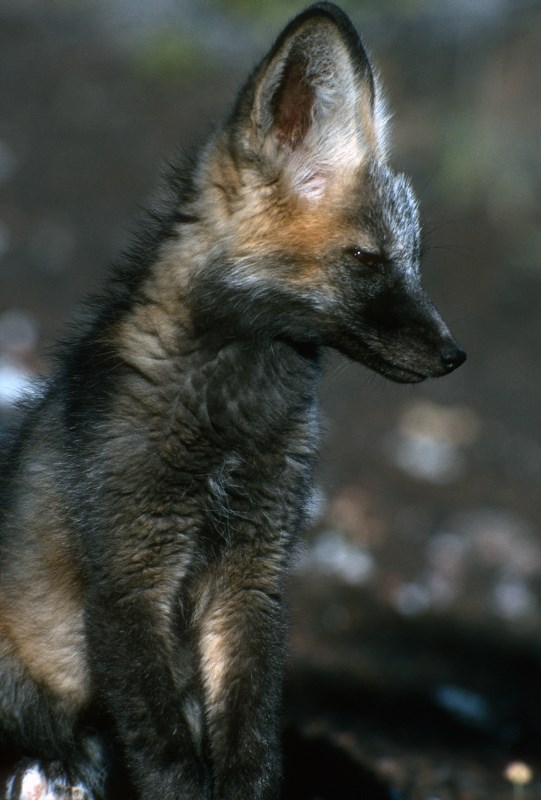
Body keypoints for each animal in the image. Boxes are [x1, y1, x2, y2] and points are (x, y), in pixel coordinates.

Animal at [0, 3, 466, 799]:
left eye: (413, 263)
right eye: (366, 260)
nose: (452, 355)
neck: (231, 429)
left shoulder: (254, 577)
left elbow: (250, 746)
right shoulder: (130, 576)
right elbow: (166, 758)